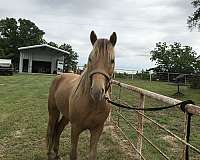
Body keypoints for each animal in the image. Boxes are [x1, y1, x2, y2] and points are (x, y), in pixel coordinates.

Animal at [47, 30, 116, 159]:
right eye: (90, 58)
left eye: (112, 60)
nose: (97, 92)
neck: (92, 104)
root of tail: (60, 76)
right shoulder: (75, 128)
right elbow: (73, 154)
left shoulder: (97, 130)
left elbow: (92, 155)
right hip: (53, 112)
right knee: (51, 130)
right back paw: (49, 153)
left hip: (66, 116)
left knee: (58, 129)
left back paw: (57, 153)